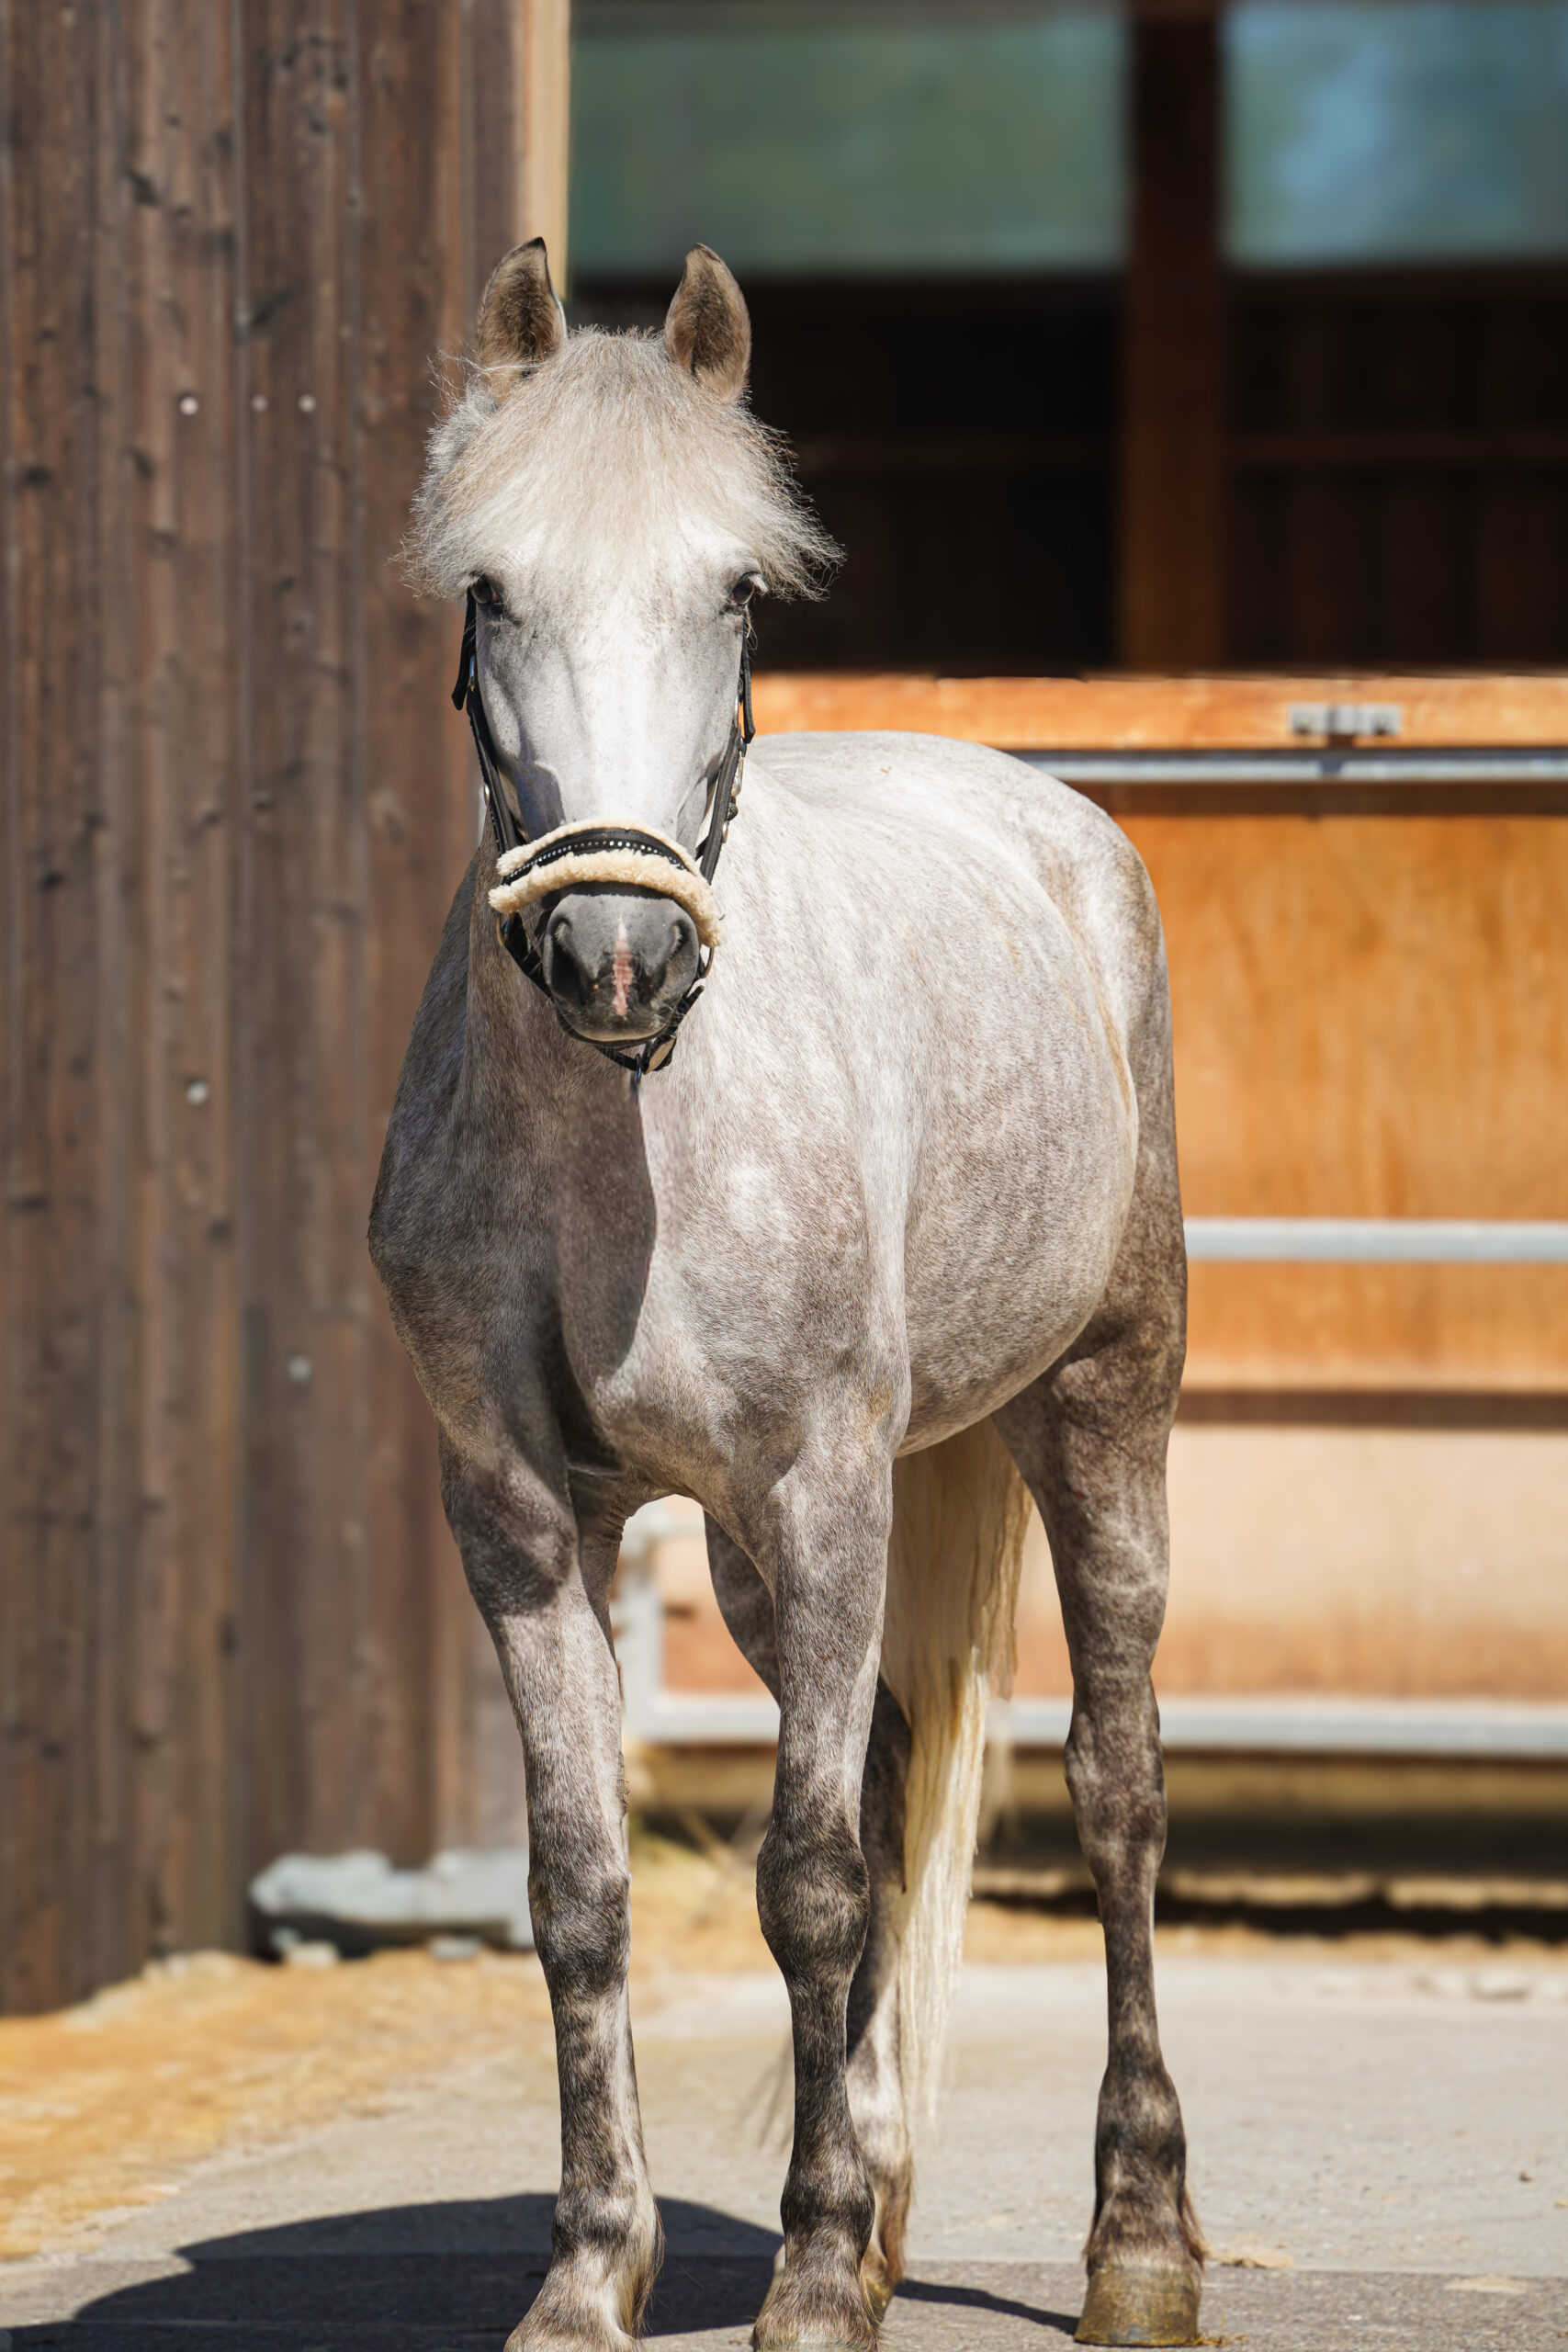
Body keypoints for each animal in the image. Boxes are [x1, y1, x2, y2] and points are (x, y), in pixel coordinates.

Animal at [371, 239, 1203, 2352]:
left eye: (734, 593)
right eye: (493, 591)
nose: (617, 955)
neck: (623, 1143)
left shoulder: (823, 1485)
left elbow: (811, 1881)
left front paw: (815, 2278)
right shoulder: (523, 1520)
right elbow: (582, 1890)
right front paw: (593, 2272)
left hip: (1099, 1409)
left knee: (1111, 1782)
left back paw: (1138, 2240)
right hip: (768, 1562)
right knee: (900, 1758)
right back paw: (897, 2196)